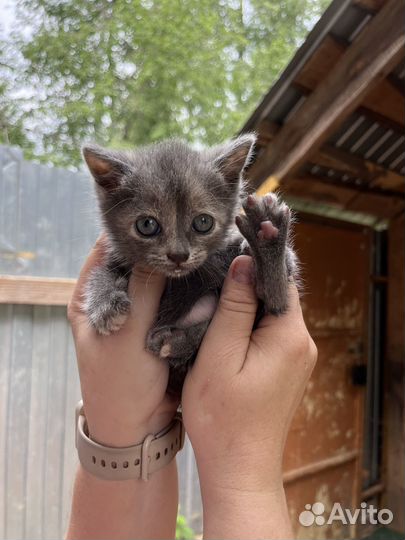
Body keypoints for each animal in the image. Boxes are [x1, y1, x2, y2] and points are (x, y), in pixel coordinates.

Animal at [82, 136, 296, 392]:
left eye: (203, 222)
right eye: (146, 225)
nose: (178, 255)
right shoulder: (116, 259)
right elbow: (100, 273)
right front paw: (104, 304)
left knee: (274, 301)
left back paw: (268, 237)